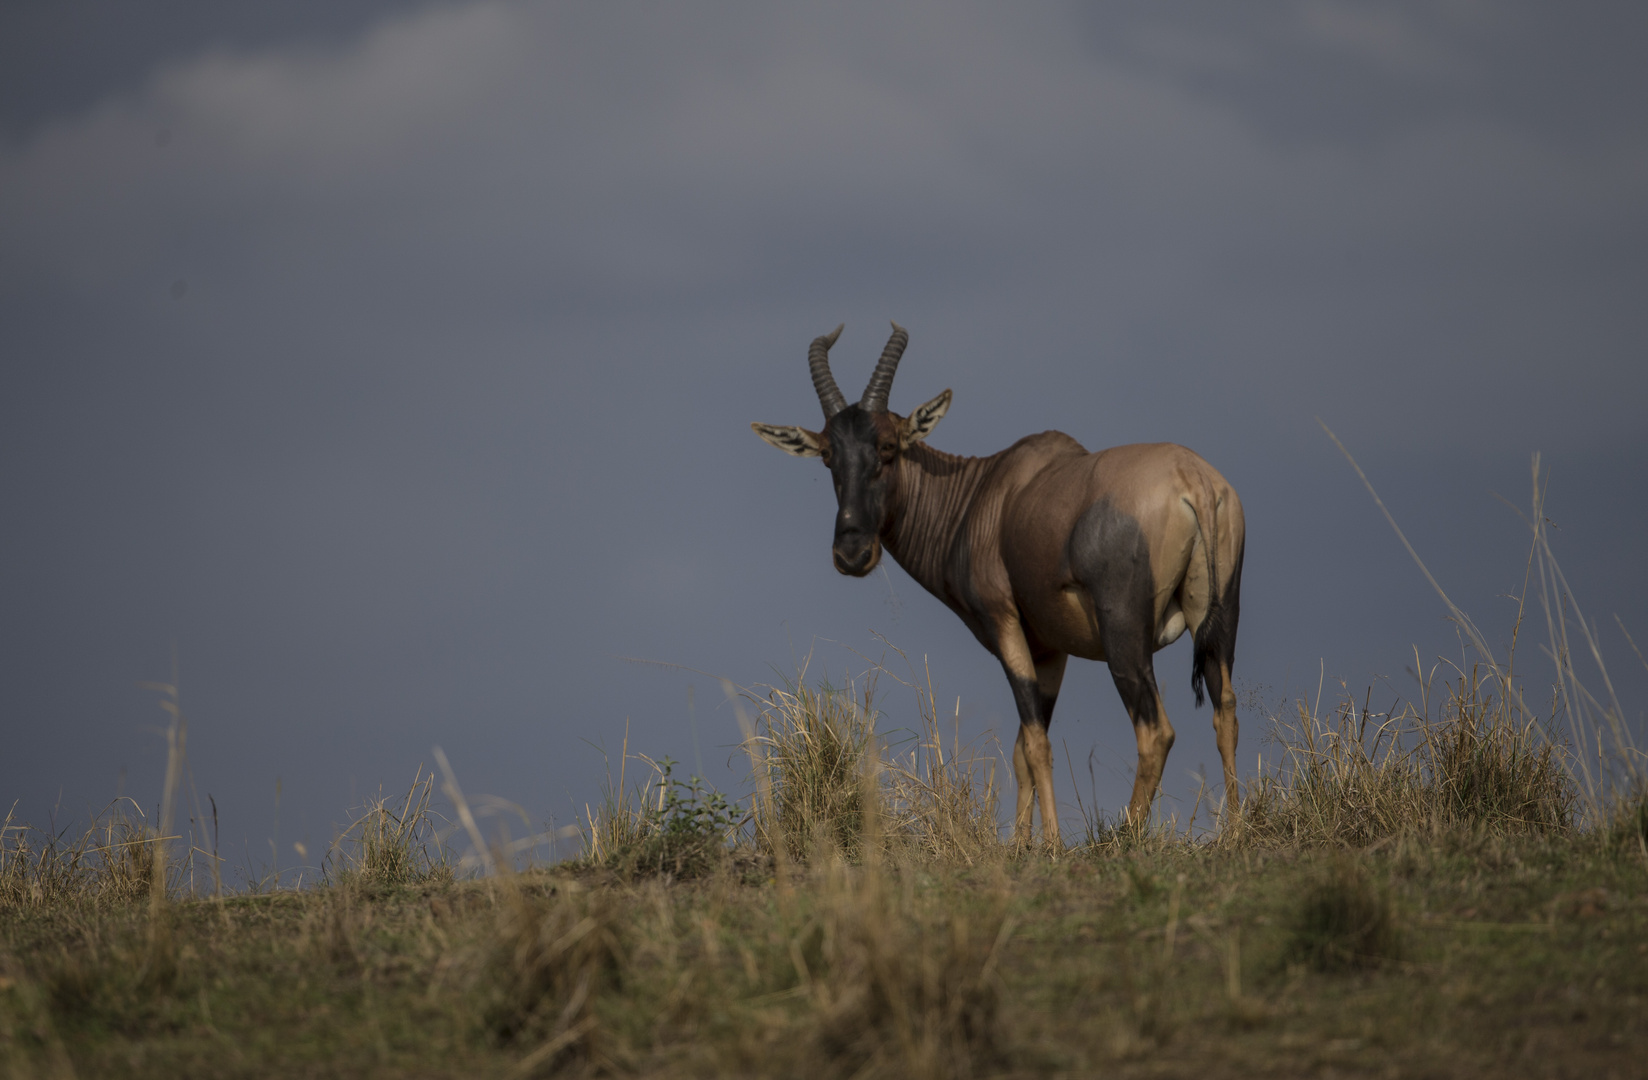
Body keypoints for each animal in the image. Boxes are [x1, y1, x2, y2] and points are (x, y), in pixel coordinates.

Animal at [754, 323, 1239, 844]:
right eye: (827, 455)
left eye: (887, 447)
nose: (851, 552)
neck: (988, 492)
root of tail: (1194, 481)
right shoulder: (1050, 649)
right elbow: (1023, 748)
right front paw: (1021, 844)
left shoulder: (1005, 622)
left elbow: (1036, 743)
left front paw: (1050, 845)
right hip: (1219, 621)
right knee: (1225, 709)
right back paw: (1237, 827)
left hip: (1123, 635)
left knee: (1155, 732)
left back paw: (1124, 836)